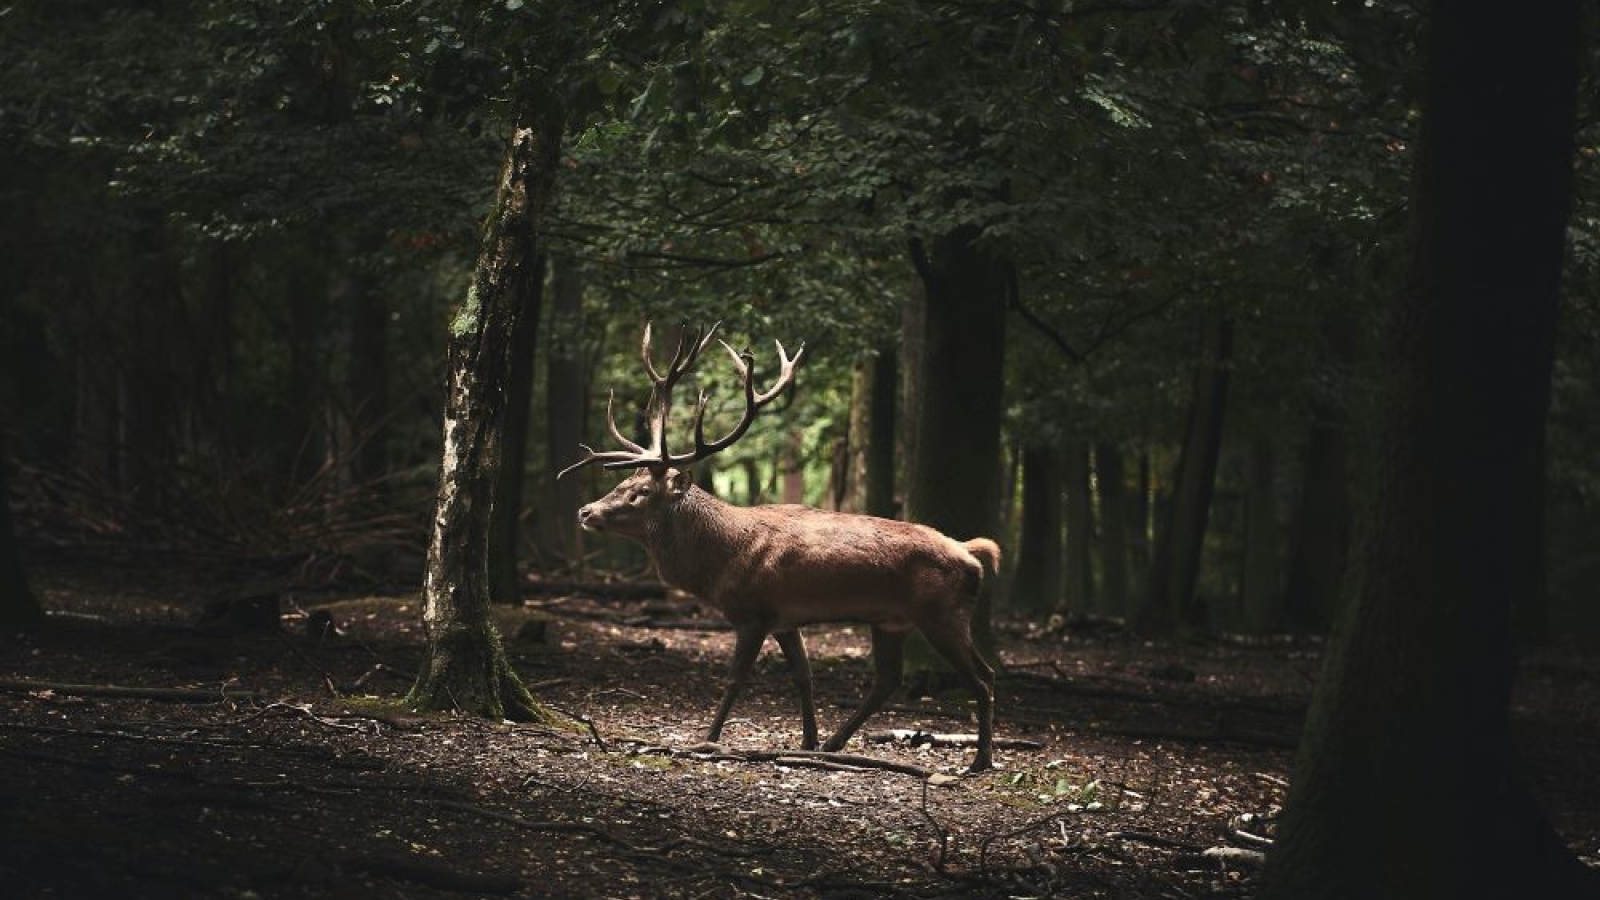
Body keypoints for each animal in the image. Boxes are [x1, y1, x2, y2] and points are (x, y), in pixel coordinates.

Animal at [556, 321, 992, 771]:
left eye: (640, 492)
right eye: (623, 482)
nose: (586, 511)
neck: (718, 563)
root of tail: (974, 558)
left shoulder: (753, 612)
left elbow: (735, 679)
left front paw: (708, 739)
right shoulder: (785, 619)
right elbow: (804, 676)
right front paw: (808, 740)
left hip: (941, 613)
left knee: (983, 678)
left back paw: (980, 760)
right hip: (892, 620)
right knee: (890, 679)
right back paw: (836, 742)